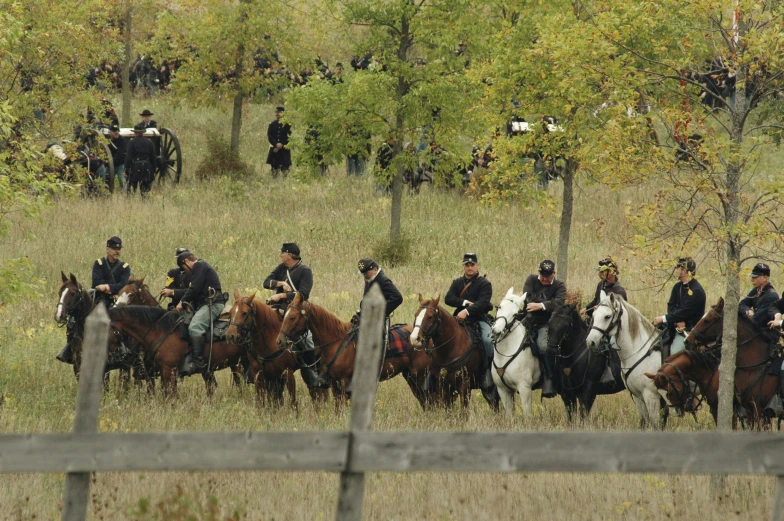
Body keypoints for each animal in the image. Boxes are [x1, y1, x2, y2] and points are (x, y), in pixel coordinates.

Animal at [276, 290, 434, 408]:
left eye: (292, 317)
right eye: (285, 315)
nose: (279, 341)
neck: (337, 341)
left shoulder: (345, 381)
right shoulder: (334, 382)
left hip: (419, 376)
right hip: (410, 376)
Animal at [490, 286, 540, 416]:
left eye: (515, 314)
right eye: (500, 307)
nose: (496, 332)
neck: (505, 355)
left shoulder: (524, 388)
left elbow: (527, 415)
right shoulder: (503, 390)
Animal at [584, 290, 664, 428]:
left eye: (607, 316)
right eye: (594, 314)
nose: (591, 342)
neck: (639, 351)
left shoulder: (651, 396)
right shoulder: (638, 397)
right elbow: (646, 422)